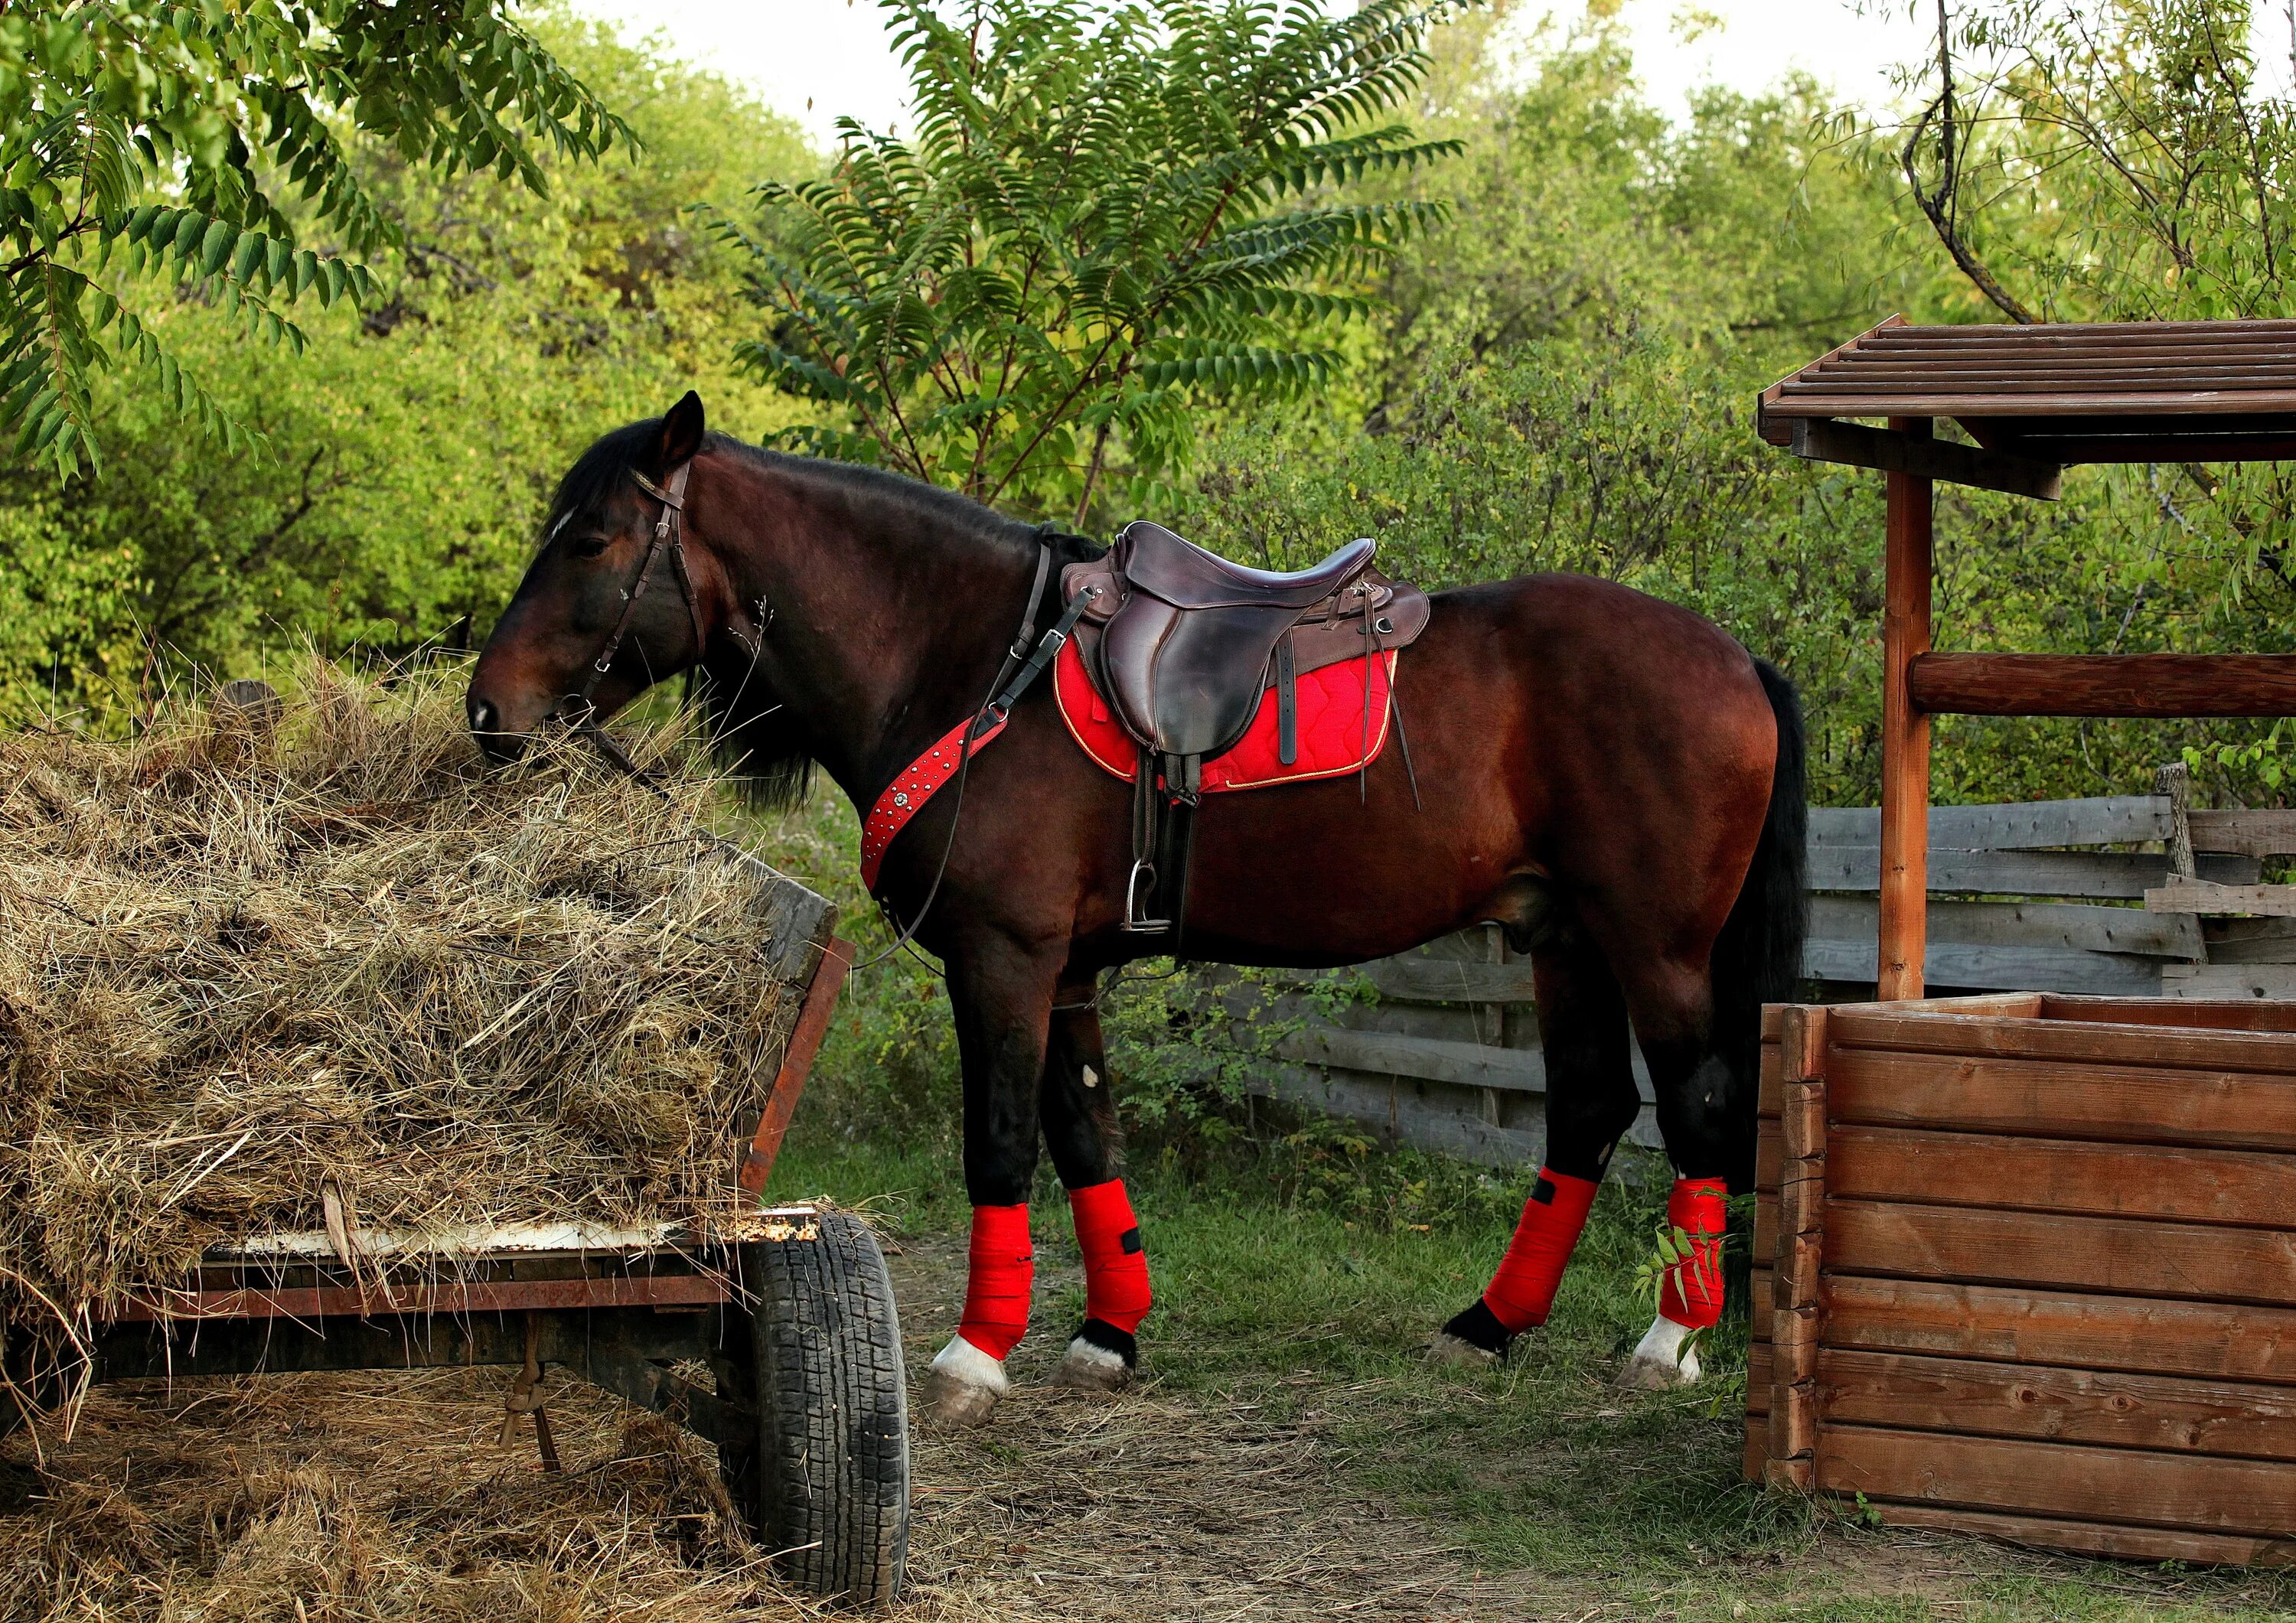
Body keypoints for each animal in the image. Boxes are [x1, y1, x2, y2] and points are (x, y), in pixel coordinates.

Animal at [471, 399, 1809, 1432]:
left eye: (591, 538)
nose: (488, 711)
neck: (978, 665)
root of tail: (1734, 659)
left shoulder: (1002, 961)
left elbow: (1003, 1140)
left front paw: (973, 1357)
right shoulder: (1063, 971)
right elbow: (1085, 1136)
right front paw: (1108, 1334)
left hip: (1656, 947)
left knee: (1694, 1108)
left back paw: (1668, 1343)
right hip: (1563, 938)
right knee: (1586, 1111)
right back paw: (1489, 1324)